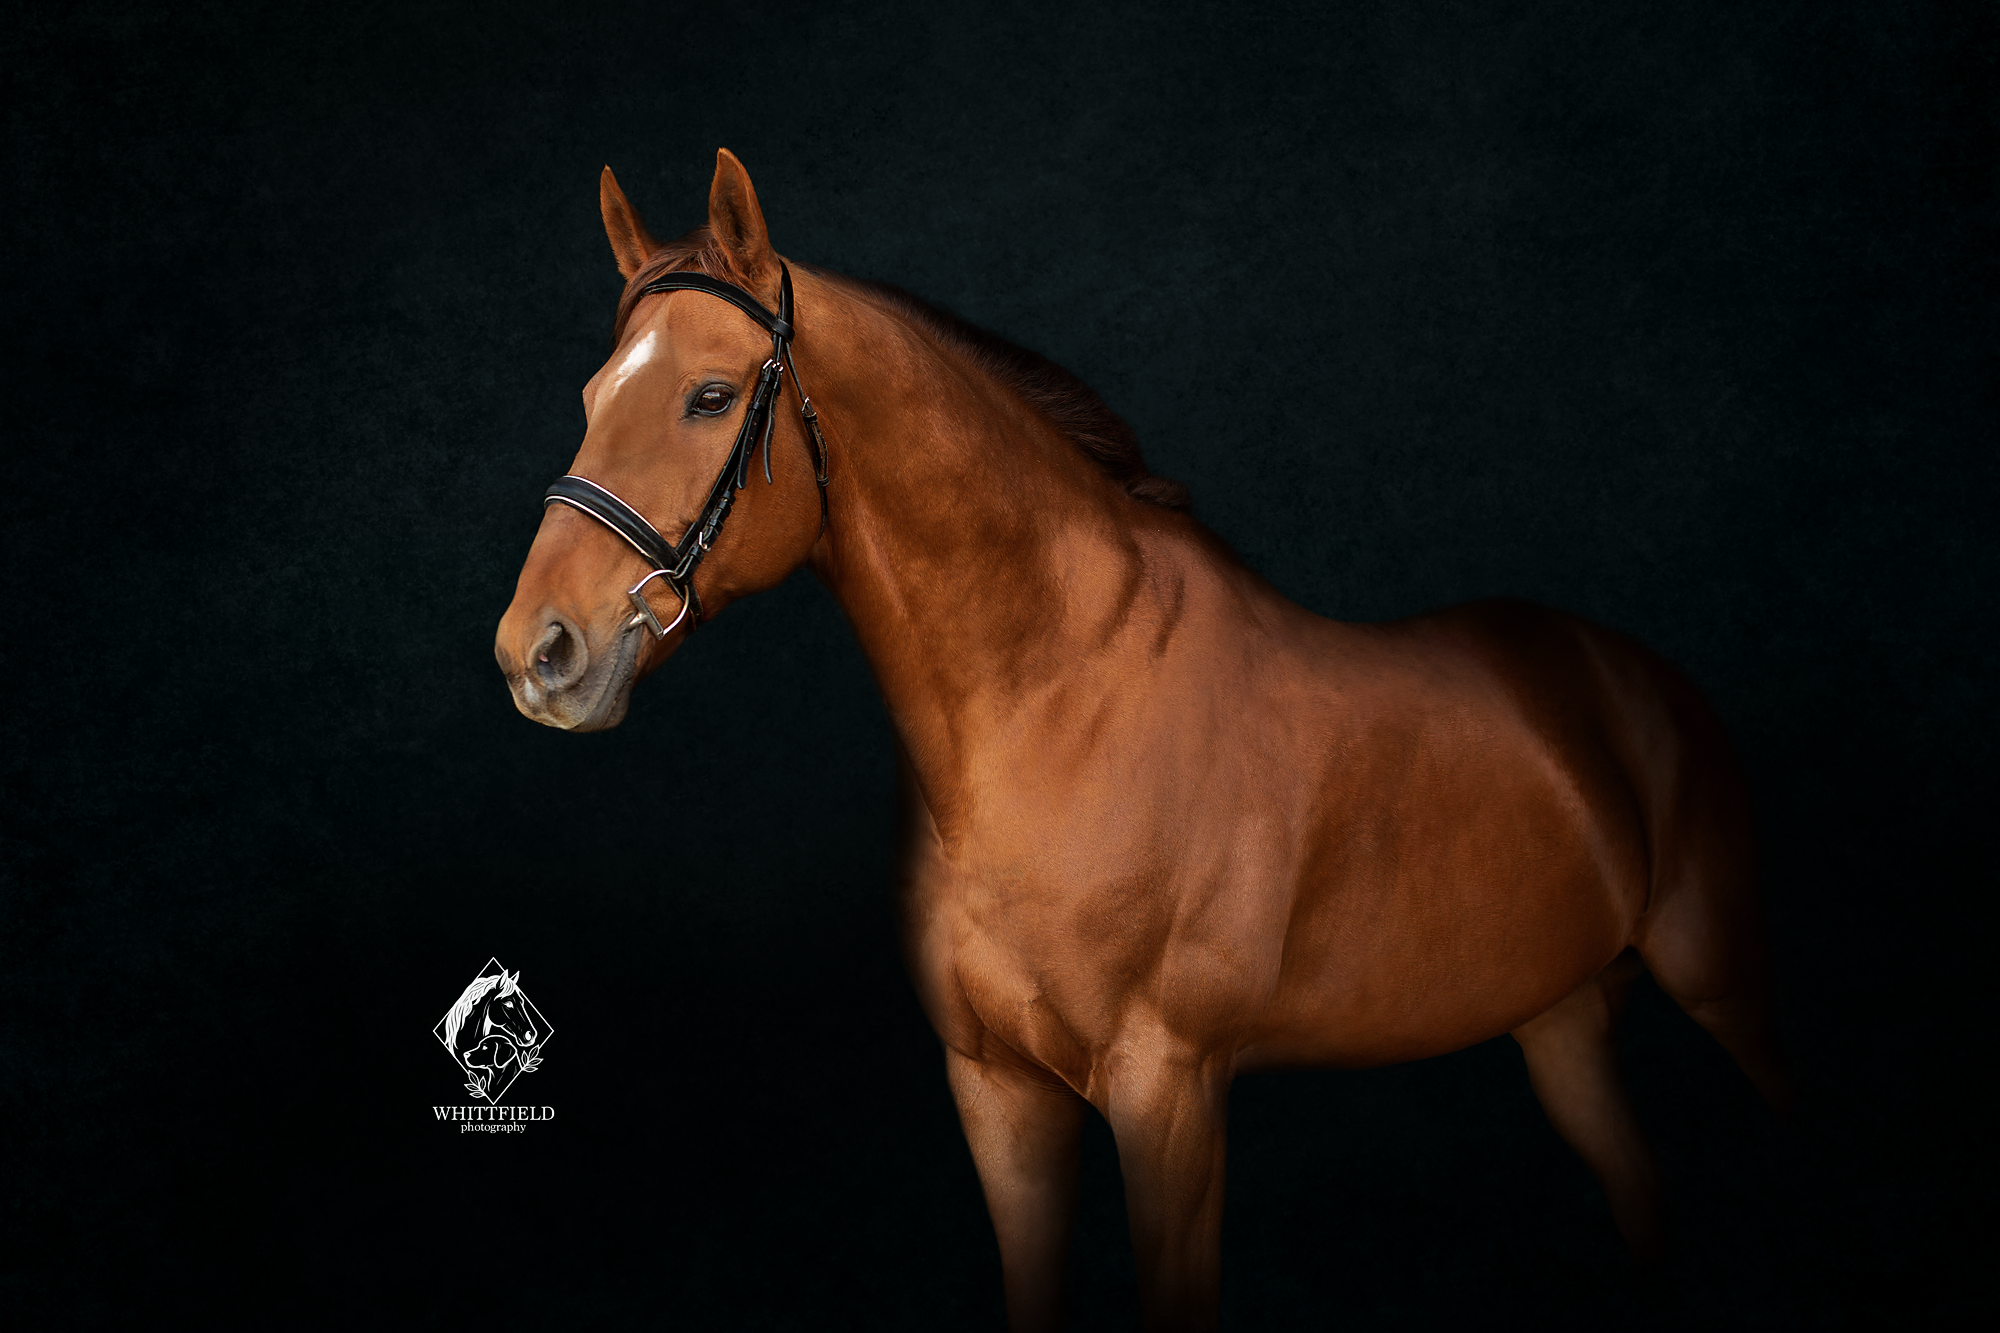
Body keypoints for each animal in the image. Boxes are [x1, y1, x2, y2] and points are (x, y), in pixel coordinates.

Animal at [494, 150, 1788, 1332]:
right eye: (592, 394)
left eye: (710, 397)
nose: (537, 651)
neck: (1058, 705)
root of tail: (1631, 678)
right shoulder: (999, 1094)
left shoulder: (1169, 1094)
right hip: (1560, 1022)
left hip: (1724, 986)